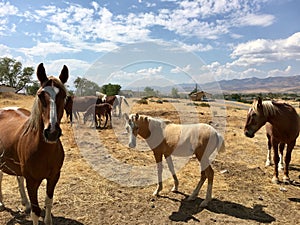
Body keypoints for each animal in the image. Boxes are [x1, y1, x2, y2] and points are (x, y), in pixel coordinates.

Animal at [0, 63, 68, 225]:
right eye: (40, 95)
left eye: (64, 95)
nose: (52, 132)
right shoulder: (32, 182)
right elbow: (36, 212)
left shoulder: (54, 177)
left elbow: (48, 202)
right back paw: (2, 203)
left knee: (18, 178)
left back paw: (25, 204)